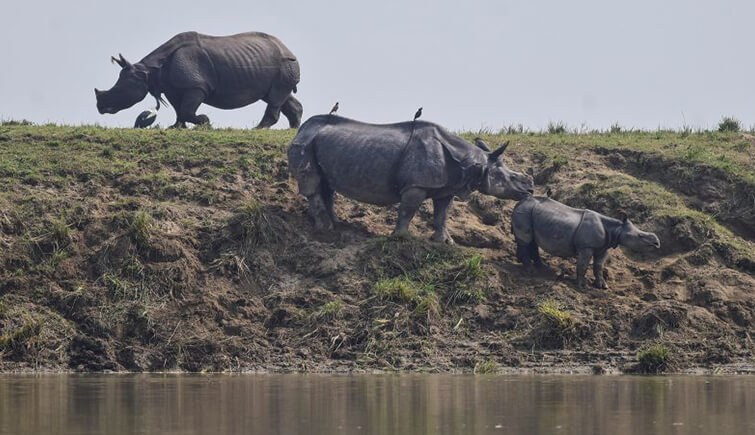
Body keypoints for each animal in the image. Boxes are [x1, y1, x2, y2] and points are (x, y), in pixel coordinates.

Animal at [508, 198, 660, 290]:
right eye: (640, 236)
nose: (657, 243)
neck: (615, 229)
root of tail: (519, 203)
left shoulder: (603, 247)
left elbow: (599, 266)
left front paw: (602, 286)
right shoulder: (586, 246)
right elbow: (583, 265)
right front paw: (582, 286)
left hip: (529, 212)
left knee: (531, 241)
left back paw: (541, 267)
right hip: (525, 212)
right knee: (526, 241)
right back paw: (531, 271)